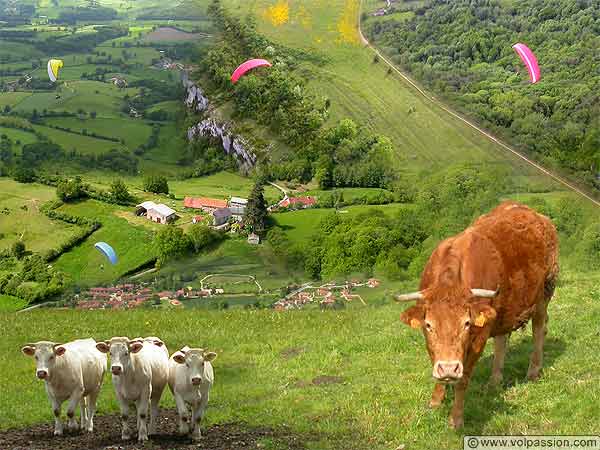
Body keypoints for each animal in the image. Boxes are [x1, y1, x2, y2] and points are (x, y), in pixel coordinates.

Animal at [398, 201, 556, 428]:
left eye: (466, 323)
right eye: (429, 325)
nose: (449, 369)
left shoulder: (479, 335)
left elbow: (463, 379)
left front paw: (456, 418)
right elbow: (435, 360)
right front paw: (435, 402)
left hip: (543, 294)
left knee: (539, 330)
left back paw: (533, 371)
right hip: (504, 309)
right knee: (502, 340)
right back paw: (494, 381)